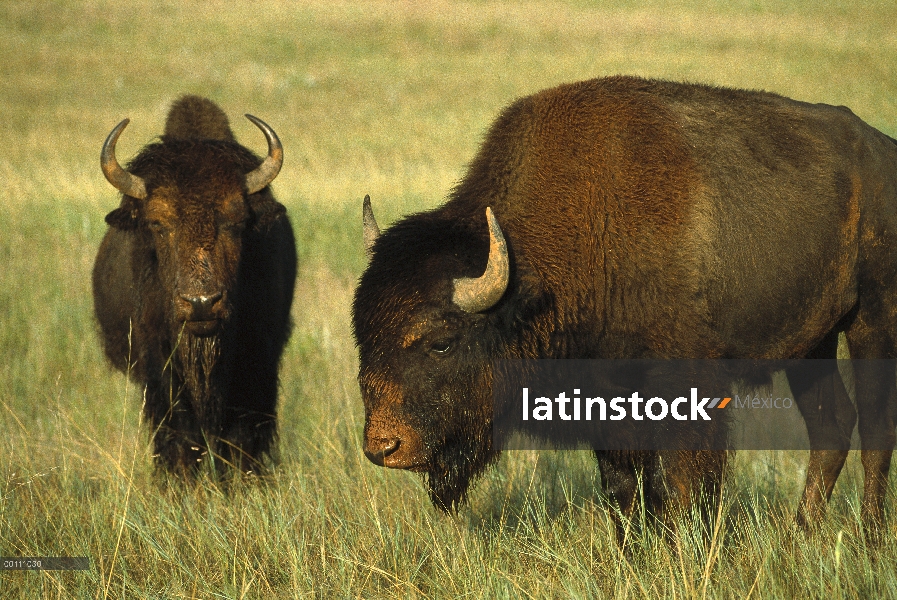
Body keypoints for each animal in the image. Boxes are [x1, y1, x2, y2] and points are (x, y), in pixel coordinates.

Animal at [93, 96, 298, 476]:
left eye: (236, 221)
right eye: (157, 223)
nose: (202, 303)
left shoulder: (258, 360)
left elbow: (242, 433)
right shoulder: (159, 368)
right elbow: (180, 431)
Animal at [354, 76, 896, 540]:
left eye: (442, 342)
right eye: (363, 334)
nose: (384, 447)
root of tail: (883, 151)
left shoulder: (688, 388)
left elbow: (685, 484)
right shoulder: (606, 400)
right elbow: (624, 488)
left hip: (872, 322)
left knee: (875, 431)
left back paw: (869, 540)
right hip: (813, 344)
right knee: (831, 427)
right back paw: (800, 535)